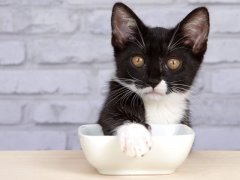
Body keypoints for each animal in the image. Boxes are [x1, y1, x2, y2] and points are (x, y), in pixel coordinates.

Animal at [97, 2, 208, 158]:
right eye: (138, 60)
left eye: (173, 62)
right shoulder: (112, 101)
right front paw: (135, 137)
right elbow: (110, 115)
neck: (158, 106)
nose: (153, 80)